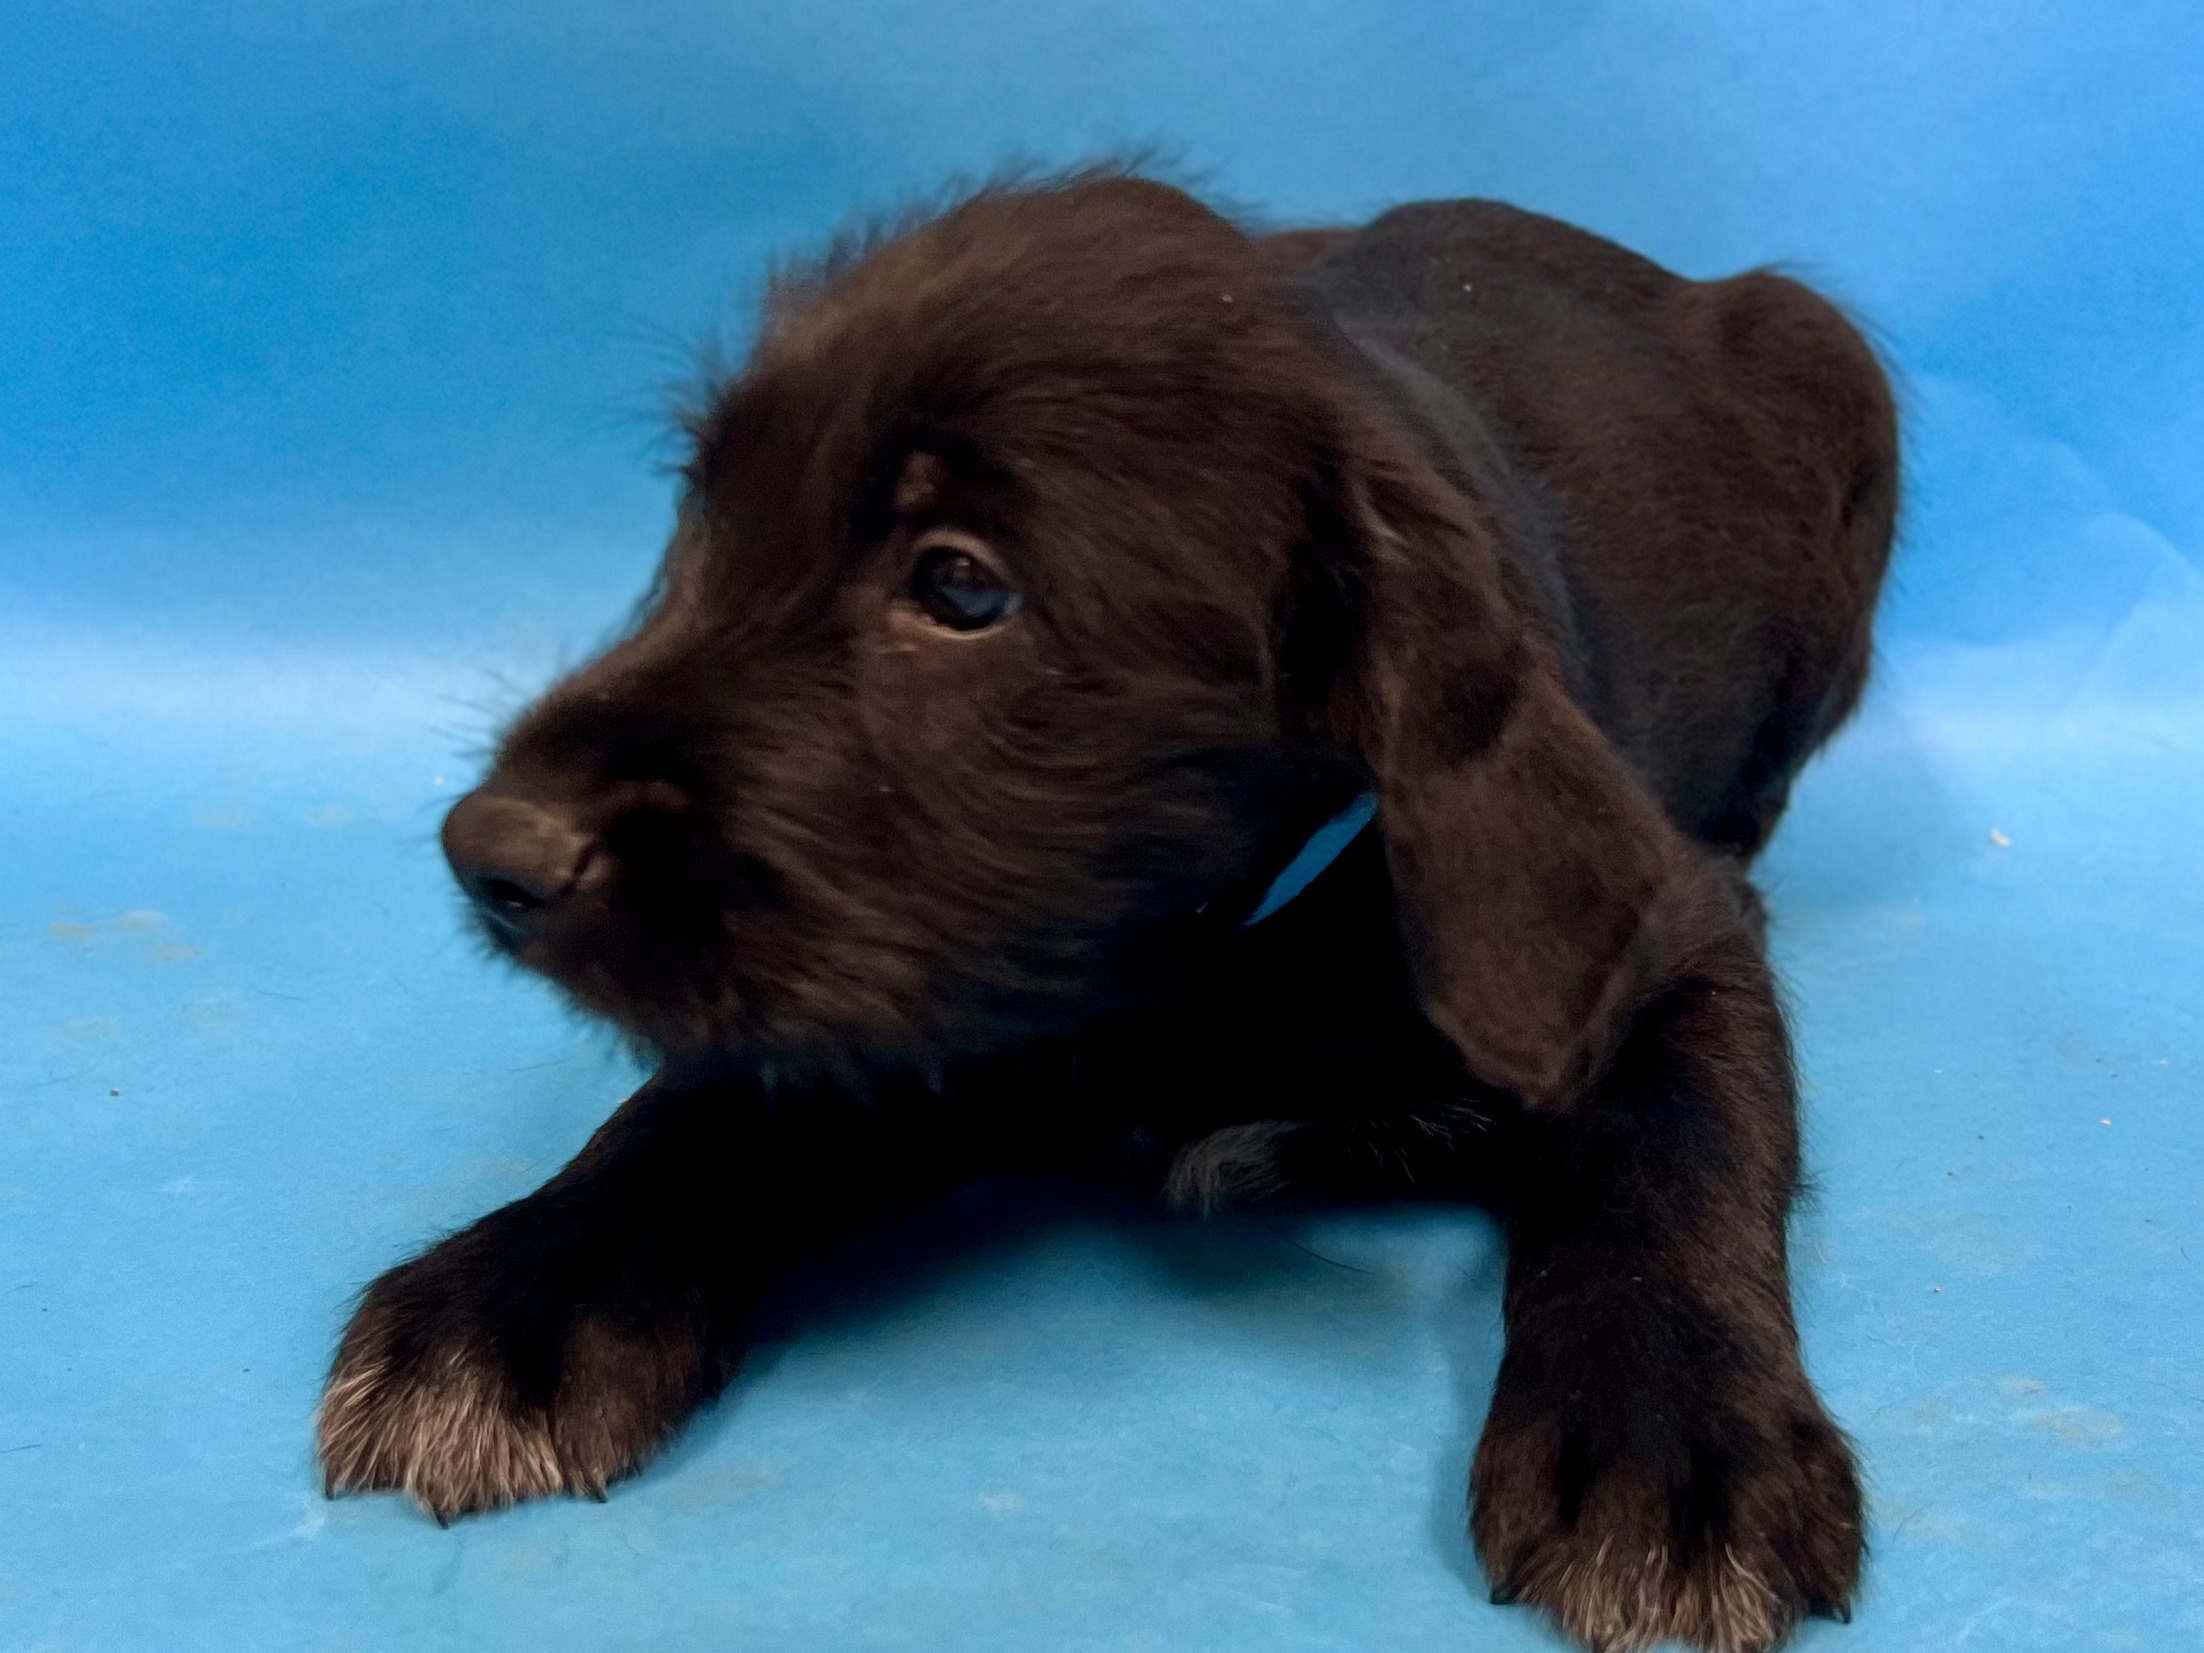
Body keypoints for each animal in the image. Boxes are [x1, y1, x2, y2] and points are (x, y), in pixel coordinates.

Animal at [319, 167, 1896, 1653]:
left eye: (961, 585)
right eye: (703, 518)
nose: (488, 850)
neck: (1199, 954)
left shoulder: (1666, 926)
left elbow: (1671, 1143)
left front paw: (1672, 1432)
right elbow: (709, 1104)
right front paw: (518, 1298)